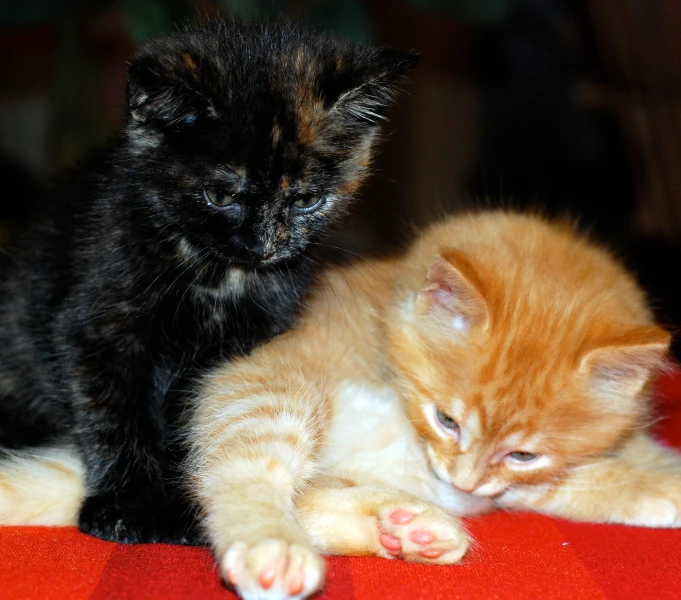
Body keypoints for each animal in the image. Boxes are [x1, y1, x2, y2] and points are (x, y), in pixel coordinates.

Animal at [0, 19, 414, 544]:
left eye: (306, 200)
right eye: (220, 196)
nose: (264, 245)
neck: (218, 277)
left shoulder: (234, 349)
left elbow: (199, 417)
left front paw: (188, 506)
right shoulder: (97, 329)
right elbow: (114, 418)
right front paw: (126, 505)